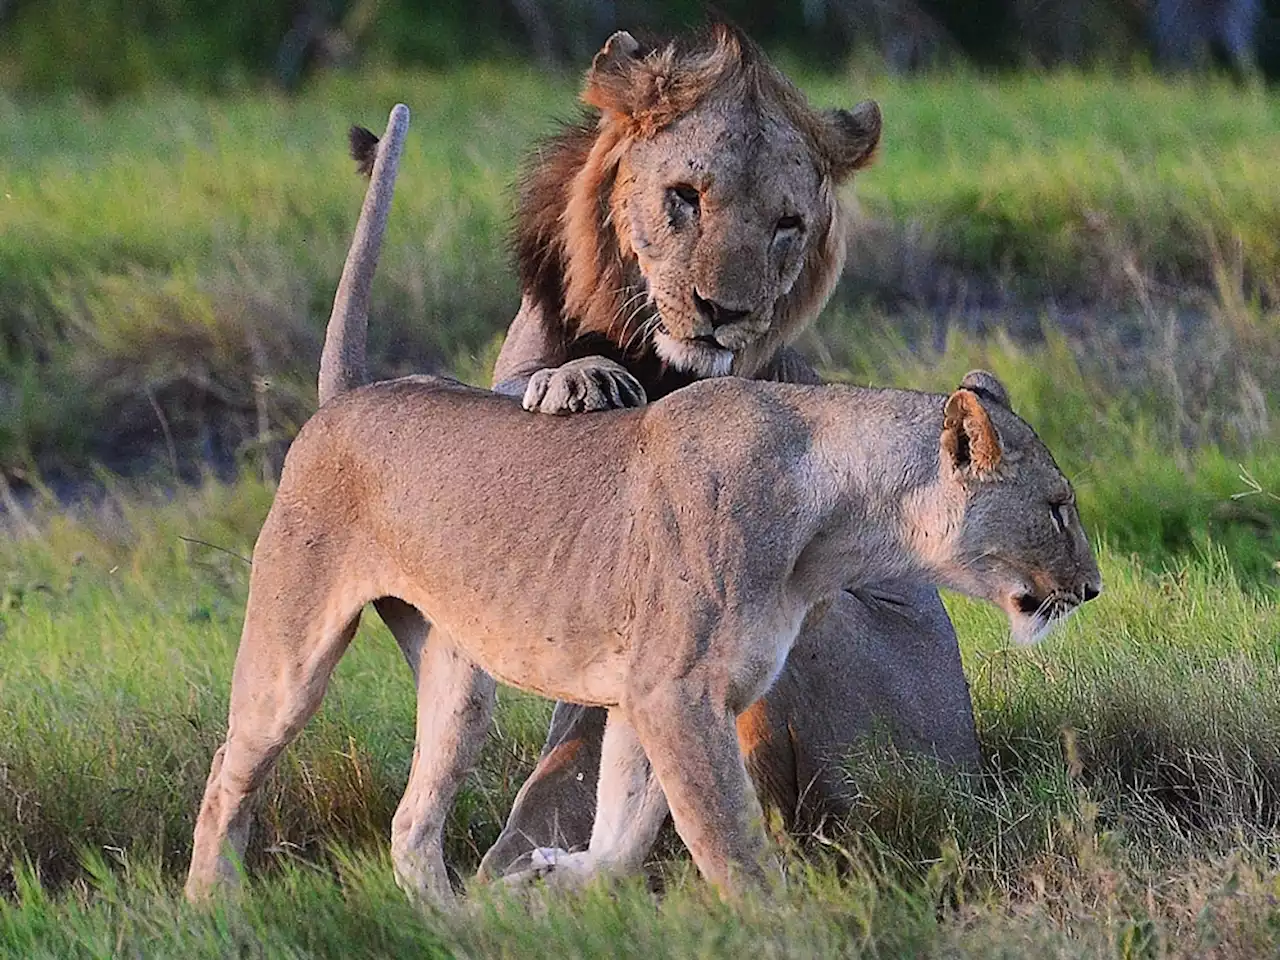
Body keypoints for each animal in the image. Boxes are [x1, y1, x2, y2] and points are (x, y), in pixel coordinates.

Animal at [186, 101, 1100, 906]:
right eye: (1059, 507)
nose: (1092, 588)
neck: (839, 517)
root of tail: (352, 397)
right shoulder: (674, 691)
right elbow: (729, 842)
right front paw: (787, 927)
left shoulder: (647, 694)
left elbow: (625, 833)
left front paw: (547, 879)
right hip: (292, 649)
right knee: (229, 774)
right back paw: (214, 910)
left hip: (459, 679)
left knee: (411, 825)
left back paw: (458, 921)